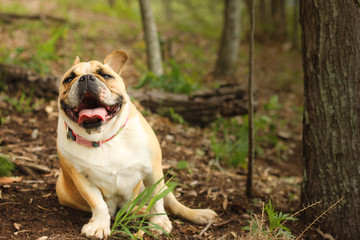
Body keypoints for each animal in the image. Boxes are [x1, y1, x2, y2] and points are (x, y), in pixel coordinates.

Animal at [55, 50, 217, 238]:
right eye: (69, 79)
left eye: (106, 75)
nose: (86, 78)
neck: (105, 138)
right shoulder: (81, 177)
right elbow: (98, 203)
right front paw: (99, 225)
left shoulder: (153, 170)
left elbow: (157, 198)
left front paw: (159, 222)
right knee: (129, 209)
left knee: (169, 202)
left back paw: (198, 214)